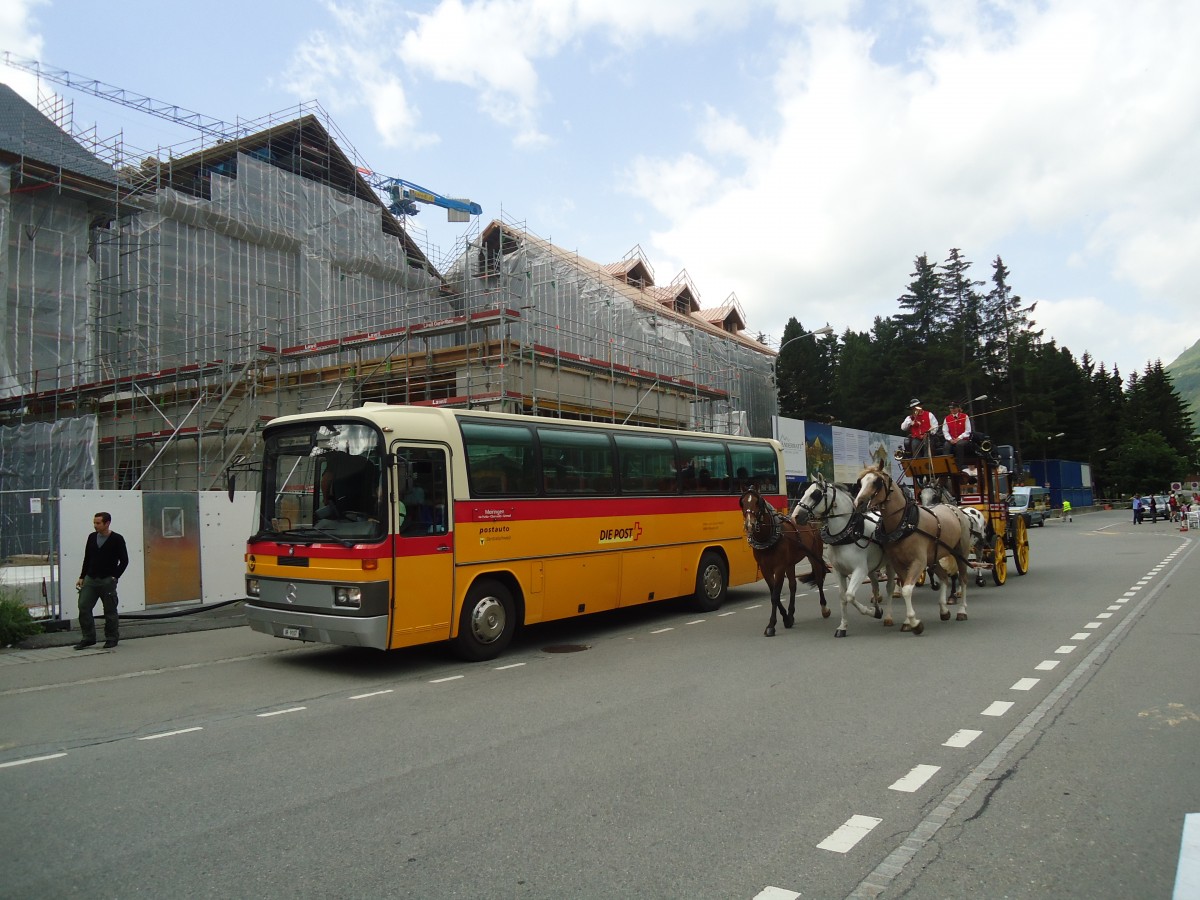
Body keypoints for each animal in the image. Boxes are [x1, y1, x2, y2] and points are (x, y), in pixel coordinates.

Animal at [734, 489, 830, 638]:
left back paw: (824, 608)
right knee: (793, 586)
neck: (769, 538)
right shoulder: (766, 569)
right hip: (790, 564)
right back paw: (791, 613)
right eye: (742, 502)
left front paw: (771, 626)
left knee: (819, 580)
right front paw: (786, 618)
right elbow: (775, 593)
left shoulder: (779, 568)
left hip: (814, 555)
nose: (749, 525)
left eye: (757, 502)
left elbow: (775, 596)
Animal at [792, 475, 897, 638]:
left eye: (815, 494)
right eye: (804, 491)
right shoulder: (838, 571)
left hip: (889, 564)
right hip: (871, 568)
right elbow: (842, 597)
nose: (795, 516)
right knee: (874, 585)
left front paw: (869, 611)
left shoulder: (859, 571)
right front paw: (843, 626)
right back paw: (878, 608)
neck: (846, 534)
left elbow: (850, 596)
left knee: (890, 586)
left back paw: (888, 616)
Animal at [854, 465, 974, 633]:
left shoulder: (918, 562)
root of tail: (952, 507)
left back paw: (962, 611)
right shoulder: (898, 563)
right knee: (944, 577)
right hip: (933, 558)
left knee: (963, 579)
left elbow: (907, 590)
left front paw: (914, 623)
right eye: (861, 482)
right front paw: (908, 622)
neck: (904, 523)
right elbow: (905, 587)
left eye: (877, 482)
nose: (859, 503)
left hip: (960, 553)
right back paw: (943, 610)